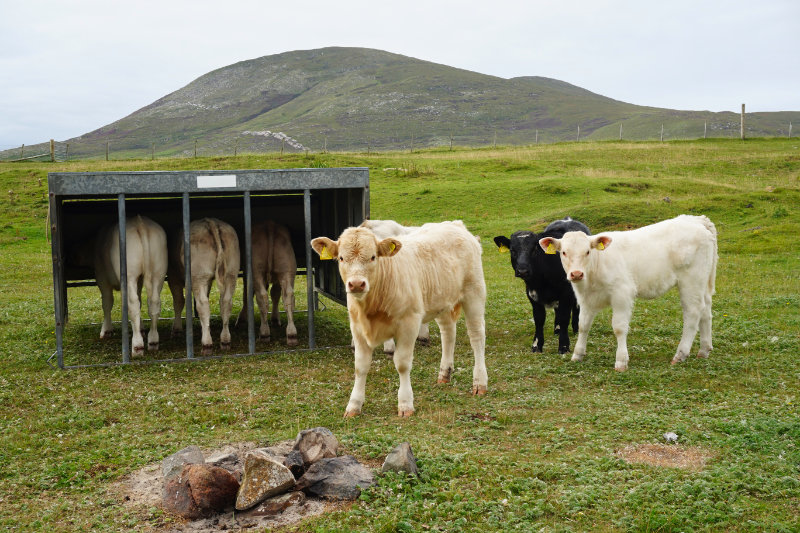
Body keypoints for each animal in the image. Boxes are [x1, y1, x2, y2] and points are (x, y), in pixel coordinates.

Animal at [91, 215, 168, 354]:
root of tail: (139, 222)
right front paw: (141, 328)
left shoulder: (101, 276)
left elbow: (107, 302)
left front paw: (106, 330)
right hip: (158, 271)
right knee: (153, 302)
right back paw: (153, 340)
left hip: (129, 274)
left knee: (133, 304)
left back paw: (137, 345)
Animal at [168, 218, 240, 354]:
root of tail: (211, 221)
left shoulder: (173, 276)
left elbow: (178, 302)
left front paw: (176, 329)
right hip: (231, 273)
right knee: (226, 302)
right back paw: (225, 339)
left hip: (199, 275)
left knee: (203, 304)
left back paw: (206, 343)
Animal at [494, 216, 590, 354]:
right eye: (512, 250)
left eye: (534, 249)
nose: (522, 270)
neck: (542, 281)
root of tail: (568, 219)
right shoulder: (532, 294)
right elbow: (539, 319)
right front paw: (536, 345)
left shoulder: (566, 293)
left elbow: (565, 317)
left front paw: (564, 346)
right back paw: (557, 329)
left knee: (576, 307)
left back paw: (576, 328)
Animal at [539, 215, 717, 371]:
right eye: (564, 252)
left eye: (587, 251)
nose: (576, 274)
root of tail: (696, 220)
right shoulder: (586, 299)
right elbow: (583, 326)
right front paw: (577, 354)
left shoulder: (622, 294)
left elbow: (619, 327)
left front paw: (621, 361)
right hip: (703, 281)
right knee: (706, 310)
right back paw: (704, 350)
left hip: (691, 280)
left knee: (693, 313)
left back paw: (680, 354)